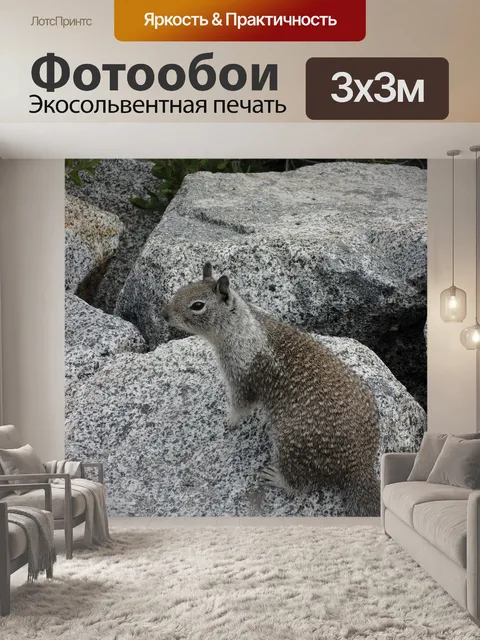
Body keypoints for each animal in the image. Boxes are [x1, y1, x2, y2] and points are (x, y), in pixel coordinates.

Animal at [161, 263, 380, 516]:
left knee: (301, 484)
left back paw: (276, 477)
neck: (241, 327)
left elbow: (240, 406)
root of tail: (360, 463)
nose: (164, 314)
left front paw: (229, 423)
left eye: (197, 305)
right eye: (180, 290)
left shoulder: (240, 377)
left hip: (290, 447)